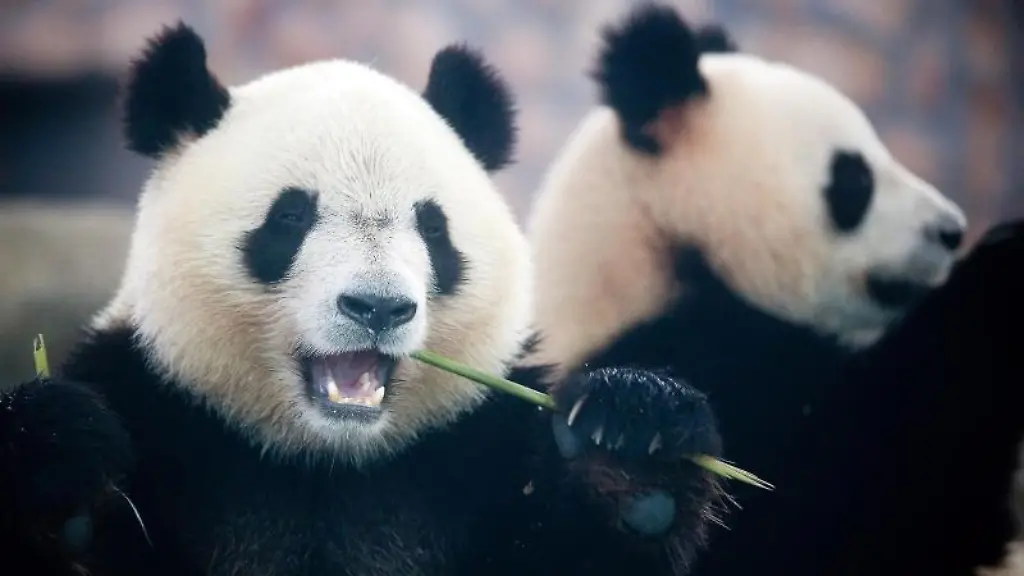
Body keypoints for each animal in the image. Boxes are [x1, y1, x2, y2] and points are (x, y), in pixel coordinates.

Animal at [0, 22, 727, 576]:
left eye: (432, 227)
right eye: (290, 217)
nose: (377, 308)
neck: (329, 458)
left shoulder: (477, 445)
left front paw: (633, 444)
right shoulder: (159, 405)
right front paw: (59, 456)